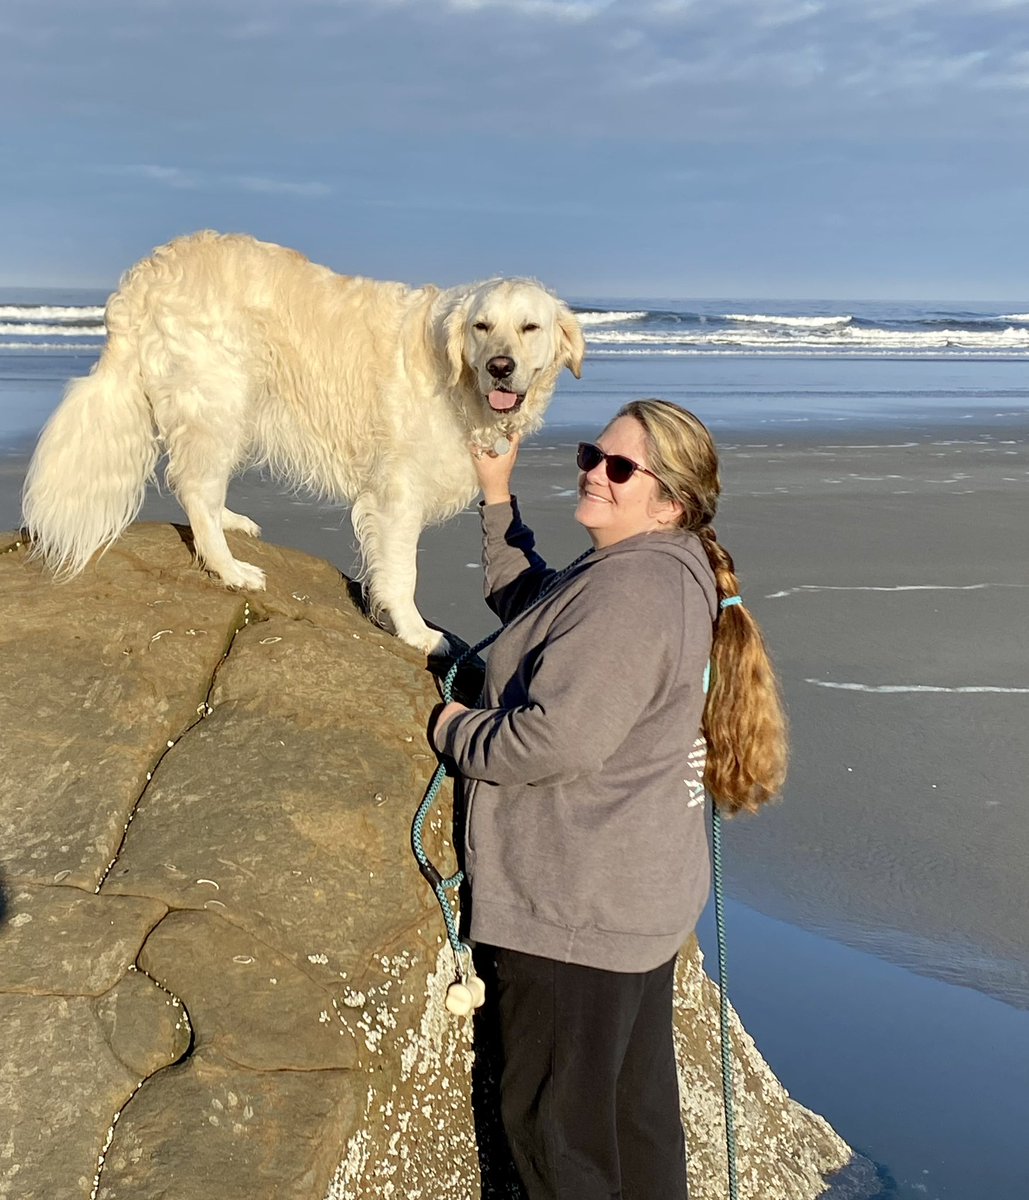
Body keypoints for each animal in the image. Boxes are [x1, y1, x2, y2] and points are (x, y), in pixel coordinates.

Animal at [23, 228, 580, 652]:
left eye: (530, 327)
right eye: (482, 326)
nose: (500, 367)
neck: (458, 382)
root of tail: (148, 273)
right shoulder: (397, 495)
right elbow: (403, 575)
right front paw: (418, 633)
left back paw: (232, 524)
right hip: (218, 396)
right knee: (195, 488)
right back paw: (230, 569)